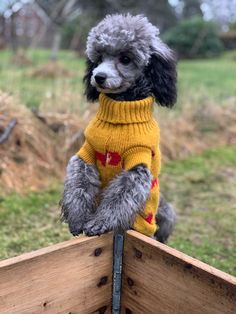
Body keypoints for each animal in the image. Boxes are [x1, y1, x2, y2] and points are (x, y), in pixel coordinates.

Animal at [60, 14, 177, 243]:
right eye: (98, 58)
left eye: (125, 59)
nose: (98, 77)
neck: (119, 114)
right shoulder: (86, 153)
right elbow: (78, 182)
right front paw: (78, 218)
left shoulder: (137, 165)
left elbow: (120, 196)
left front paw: (99, 222)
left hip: (164, 214)